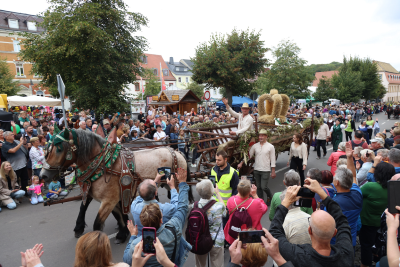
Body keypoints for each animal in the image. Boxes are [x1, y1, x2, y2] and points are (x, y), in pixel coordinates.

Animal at [40, 129, 191, 244]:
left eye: (59, 150)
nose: (43, 175)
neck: (103, 165)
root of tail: (175, 151)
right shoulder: (112, 198)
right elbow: (117, 215)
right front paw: (123, 233)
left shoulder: (109, 200)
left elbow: (97, 223)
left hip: (176, 183)